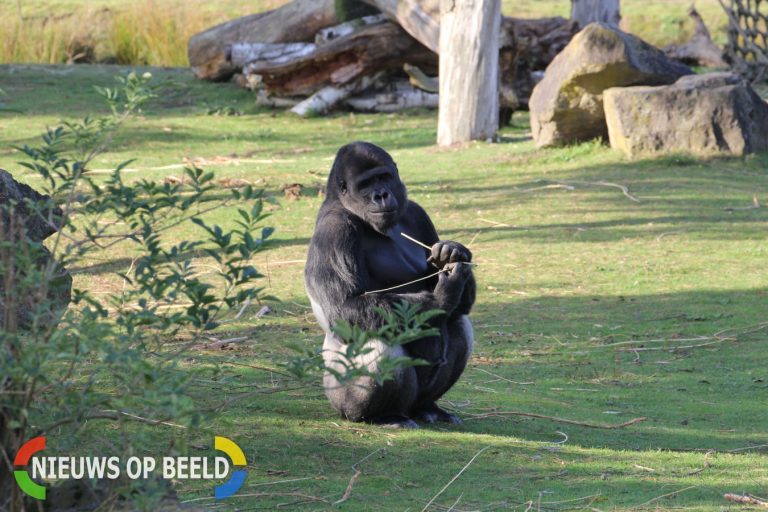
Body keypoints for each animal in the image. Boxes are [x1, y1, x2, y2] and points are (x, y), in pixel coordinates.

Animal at [304, 141, 474, 428]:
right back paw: (384, 416)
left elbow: (461, 304)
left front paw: (454, 252)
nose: (381, 195)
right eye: (365, 184)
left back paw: (428, 407)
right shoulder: (334, 231)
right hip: (338, 397)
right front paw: (444, 294)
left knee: (458, 322)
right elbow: (346, 307)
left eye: (384, 177)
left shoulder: (417, 213)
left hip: (415, 402)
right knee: (377, 338)